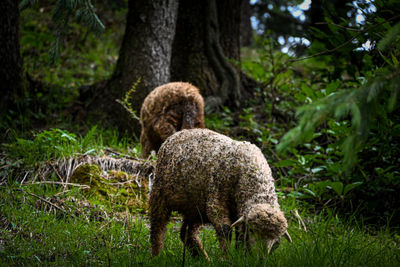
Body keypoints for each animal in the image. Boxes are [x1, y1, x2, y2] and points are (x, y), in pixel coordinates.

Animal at [149, 129, 290, 260]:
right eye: (252, 230)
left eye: (275, 239)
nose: (260, 258)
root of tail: (180, 132)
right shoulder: (217, 199)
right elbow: (225, 230)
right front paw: (226, 258)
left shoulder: (238, 211)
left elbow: (240, 235)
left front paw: (240, 255)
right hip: (159, 194)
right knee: (157, 227)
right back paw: (156, 256)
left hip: (195, 206)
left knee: (187, 233)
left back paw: (202, 258)